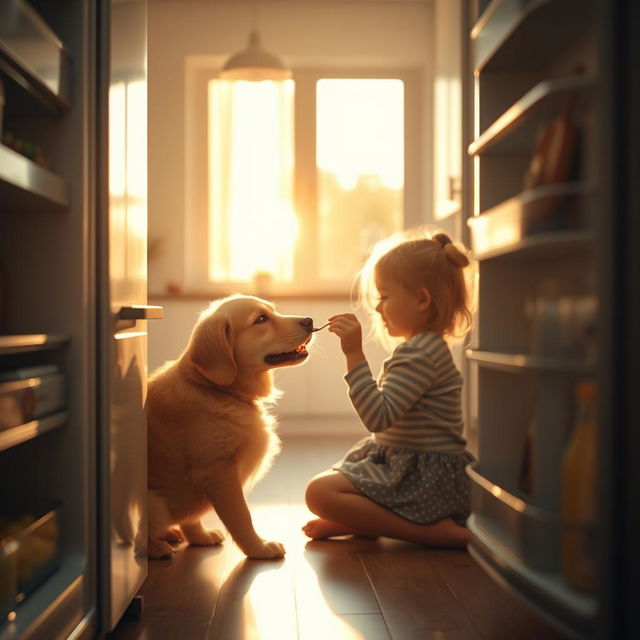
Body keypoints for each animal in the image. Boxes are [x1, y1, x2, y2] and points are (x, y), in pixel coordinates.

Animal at [146, 292, 316, 556]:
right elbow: (241, 516)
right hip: (154, 503)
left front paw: (200, 536)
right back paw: (156, 548)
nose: (309, 320)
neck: (214, 389)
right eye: (260, 319)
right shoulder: (219, 470)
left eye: (273, 310)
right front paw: (259, 548)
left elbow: (192, 519)